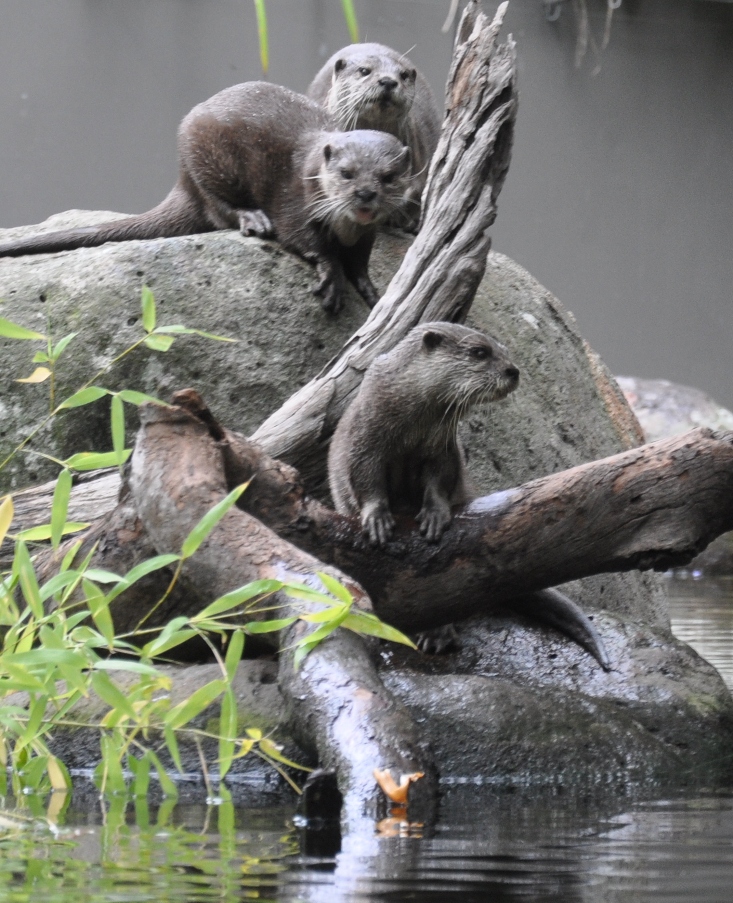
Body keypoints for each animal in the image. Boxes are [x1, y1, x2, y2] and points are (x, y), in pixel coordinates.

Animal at [0, 82, 413, 314]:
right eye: (346, 173)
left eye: (388, 177)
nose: (365, 193)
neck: (345, 229)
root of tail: (183, 176)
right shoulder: (296, 201)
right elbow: (304, 239)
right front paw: (331, 277)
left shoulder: (366, 234)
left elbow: (360, 262)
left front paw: (369, 287)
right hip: (208, 157)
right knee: (218, 209)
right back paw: (252, 218)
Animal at [328, 322, 520, 546]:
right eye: (479, 352)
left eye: (505, 352)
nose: (513, 371)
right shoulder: (364, 437)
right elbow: (365, 479)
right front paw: (376, 518)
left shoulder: (442, 446)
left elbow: (441, 477)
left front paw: (434, 514)